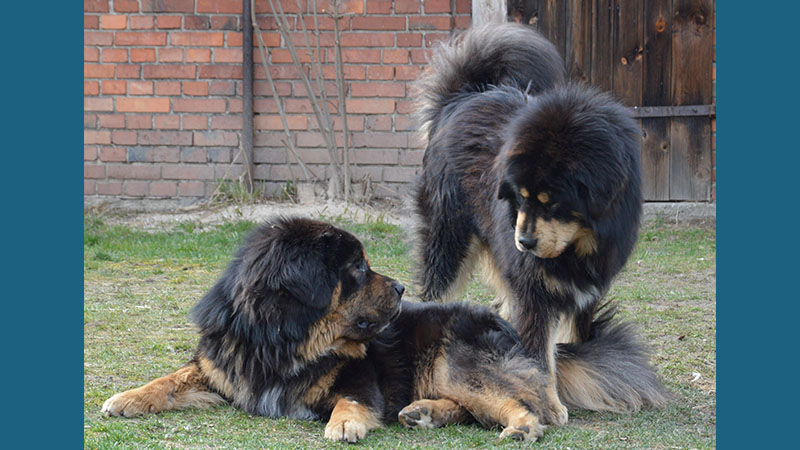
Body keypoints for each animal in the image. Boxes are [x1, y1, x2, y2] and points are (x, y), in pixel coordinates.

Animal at [103, 217, 568, 442]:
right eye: (359, 268)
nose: (401, 288)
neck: (281, 343)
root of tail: (507, 325)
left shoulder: (362, 380)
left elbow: (352, 399)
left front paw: (344, 424)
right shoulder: (223, 366)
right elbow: (171, 379)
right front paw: (128, 398)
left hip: (453, 362)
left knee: (522, 403)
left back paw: (521, 427)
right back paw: (424, 412)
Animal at [412, 22, 668, 422]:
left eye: (554, 202)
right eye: (520, 198)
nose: (525, 243)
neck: (578, 246)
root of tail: (461, 99)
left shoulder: (587, 290)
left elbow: (569, 340)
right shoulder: (535, 293)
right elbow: (538, 357)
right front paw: (550, 403)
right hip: (448, 242)